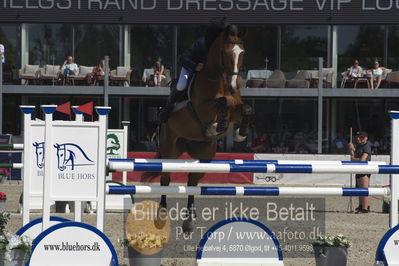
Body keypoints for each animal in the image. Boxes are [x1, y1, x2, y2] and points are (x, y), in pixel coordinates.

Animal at [144, 25, 250, 233]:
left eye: (243, 53)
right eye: (225, 53)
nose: (234, 85)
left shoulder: (236, 107)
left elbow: (244, 108)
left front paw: (238, 133)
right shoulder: (202, 108)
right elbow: (223, 102)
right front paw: (219, 125)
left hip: (206, 154)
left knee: (193, 180)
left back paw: (189, 221)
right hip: (169, 149)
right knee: (165, 180)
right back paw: (161, 216)